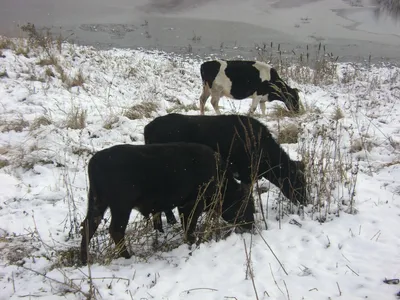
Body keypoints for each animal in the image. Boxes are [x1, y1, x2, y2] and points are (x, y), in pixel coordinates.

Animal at [80, 142, 255, 264]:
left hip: (98, 204)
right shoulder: (192, 204)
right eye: (245, 205)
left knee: (88, 226)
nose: (251, 226)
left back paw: (84, 260)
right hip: (121, 207)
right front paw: (192, 243)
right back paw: (127, 257)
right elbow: (189, 226)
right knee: (116, 230)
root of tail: (95, 161)